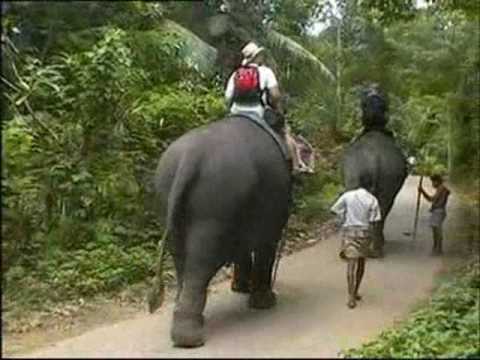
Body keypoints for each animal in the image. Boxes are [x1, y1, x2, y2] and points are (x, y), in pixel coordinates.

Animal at [154, 115, 290, 346]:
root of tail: (190, 158)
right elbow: (266, 244)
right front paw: (264, 301)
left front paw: (241, 289)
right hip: (215, 206)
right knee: (200, 263)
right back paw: (190, 339)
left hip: (168, 200)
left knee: (181, 258)